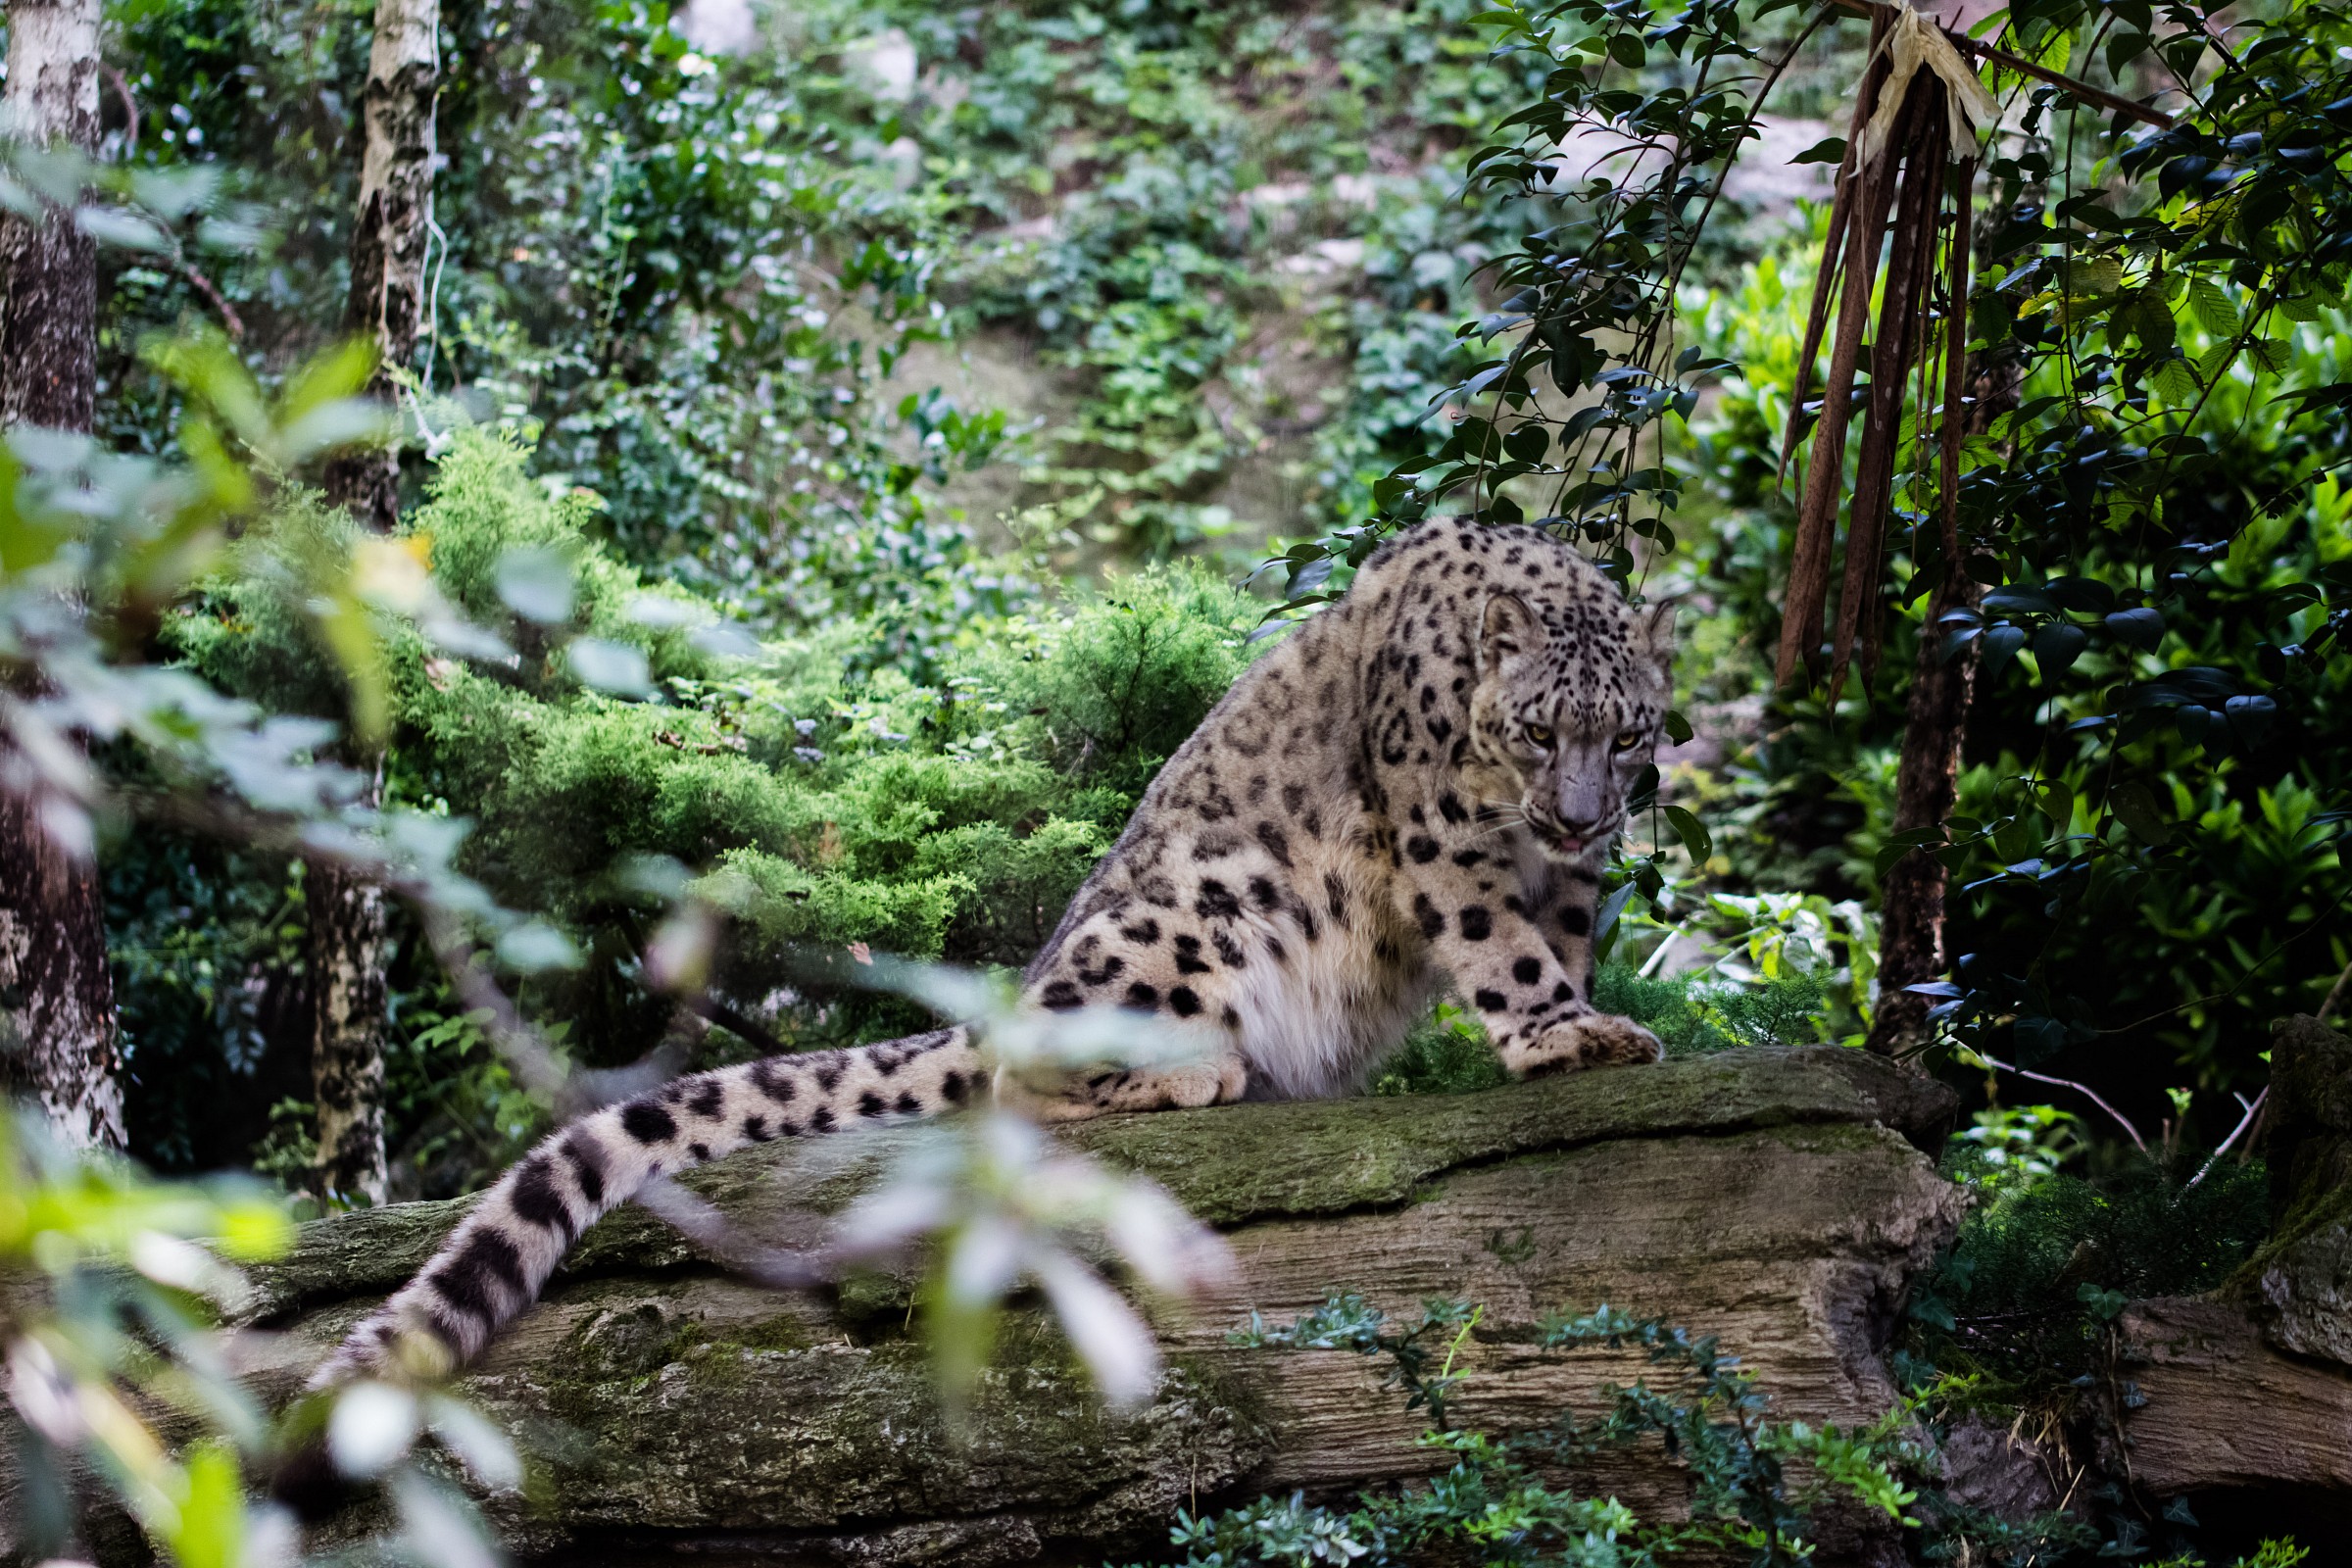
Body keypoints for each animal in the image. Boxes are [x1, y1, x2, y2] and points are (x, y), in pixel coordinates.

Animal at [312, 518, 1678, 1389]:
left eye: (1627, 733)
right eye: (1537, 727)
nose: (1579, 815)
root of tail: (1023, 987)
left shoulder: (1570, 878)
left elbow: (1557, 935)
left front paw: (1589, 1013)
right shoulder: (1443, 836)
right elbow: (1497, 939)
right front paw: (1564, 1032)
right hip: (1191, 915)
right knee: (1029, 1088)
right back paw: (1194, 1073)